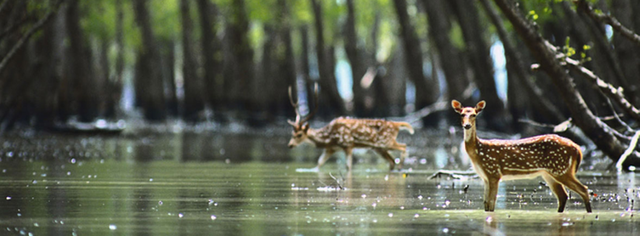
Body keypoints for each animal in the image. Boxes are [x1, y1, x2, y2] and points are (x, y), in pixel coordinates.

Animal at [286, 85, 416, 171]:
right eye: (292, 134)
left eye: (299, 135)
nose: (290, 145)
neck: (328, 137)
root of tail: (396, 125)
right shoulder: (331, 149)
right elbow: (319, 164)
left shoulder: (348, 144)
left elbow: (348, 167)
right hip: (378, 147)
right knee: (392, 161)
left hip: (386, 142)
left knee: (403, 146)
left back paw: (400, 167)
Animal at [452, 100, 592, 214]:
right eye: (461, 114)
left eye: (474, 115)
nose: (467, 126)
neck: (478, 151)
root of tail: (577, 148)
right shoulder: (485, 177)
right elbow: (486, 204)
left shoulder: (494, 172)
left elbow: (491, 204)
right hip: (550, 173)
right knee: (563, 196)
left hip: (561, 169)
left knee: (584, 190)